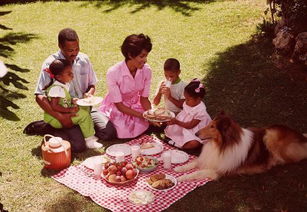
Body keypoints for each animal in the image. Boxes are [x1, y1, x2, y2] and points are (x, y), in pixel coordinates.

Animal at [176, 112, 307, 181]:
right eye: (209, 124)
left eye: (212, 127)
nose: (196, 134)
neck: (221, 146)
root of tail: (301, 136)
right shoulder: (208, 158)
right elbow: (194, 162)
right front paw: (179, 169)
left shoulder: (220, 170)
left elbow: (198, 172)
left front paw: (182, 178)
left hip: (270, 135)